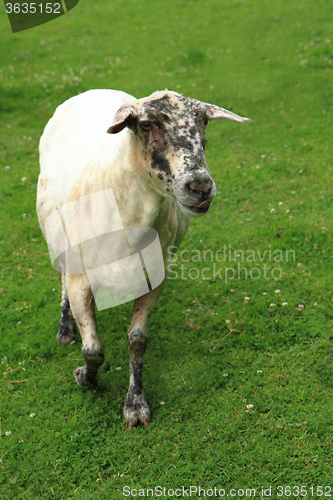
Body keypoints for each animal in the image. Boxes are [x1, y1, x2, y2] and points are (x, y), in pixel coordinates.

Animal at [36, 88, 249, 428]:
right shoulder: (80, 278)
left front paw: (135, 405)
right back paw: (66, 330)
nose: (200, 187)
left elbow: (137, 341)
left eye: (203, 121)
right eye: (146, 124)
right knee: (61, 279)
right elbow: (93, 348)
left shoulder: (153, 279)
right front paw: (86, 378)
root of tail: (93, 89)